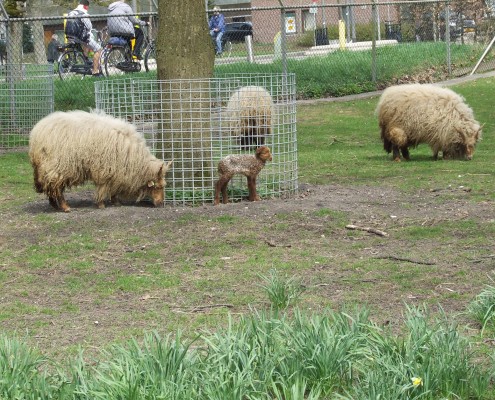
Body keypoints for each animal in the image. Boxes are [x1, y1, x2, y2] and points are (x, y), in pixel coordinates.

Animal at [28, 109, 174, 211]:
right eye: (158, 186)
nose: (161, 204)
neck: (134, 157)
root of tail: (36, 134)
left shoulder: (116, 170)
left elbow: (115, 187)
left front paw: (115, 202)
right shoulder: (106, 169)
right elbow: (105, 187)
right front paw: (101, 203)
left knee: (50, 186)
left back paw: (54, 205)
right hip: (58, 166)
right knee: (56, 187)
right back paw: (65, 207)